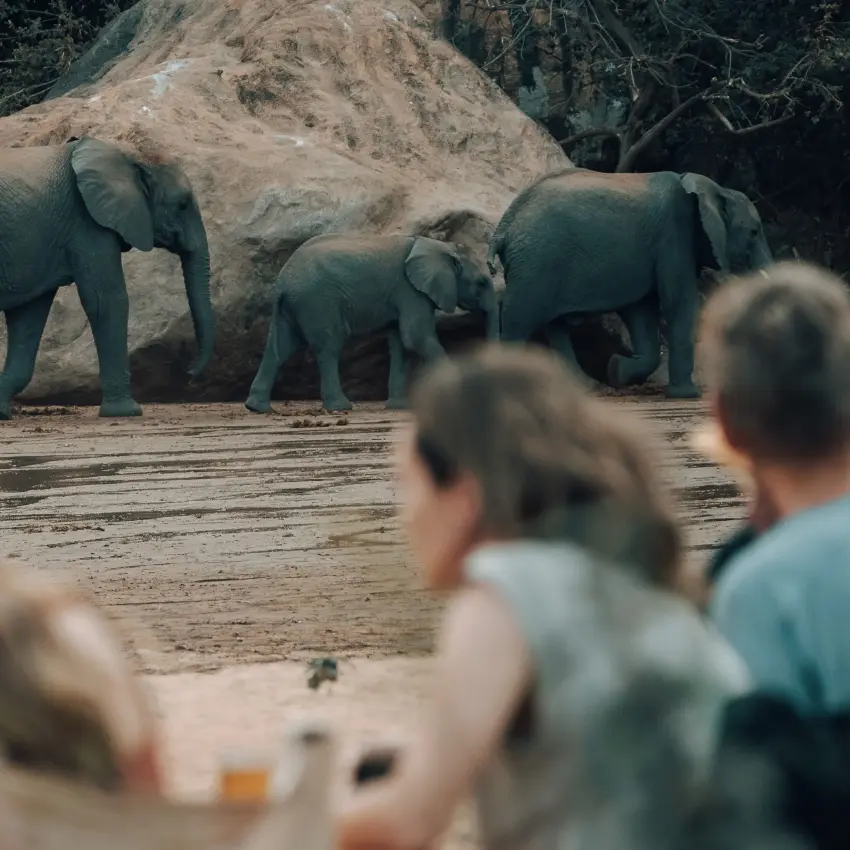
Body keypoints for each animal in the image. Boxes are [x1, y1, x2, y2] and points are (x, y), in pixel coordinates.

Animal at [0, 136, 214, 420]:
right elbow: (106, 301)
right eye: (182, 204)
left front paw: (0, 411)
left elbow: (28, 316)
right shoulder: (87, 223)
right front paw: (126, 411)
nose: (188, 374)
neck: (128, 153)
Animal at [244, 233, 499, 413]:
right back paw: (341, 407)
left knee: (281, 348)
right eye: (481, 282)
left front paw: (399, 407)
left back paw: (257, 408)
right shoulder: (410, 290)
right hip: (318, 302)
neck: (439, 245)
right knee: (329, 347)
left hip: (296, 304)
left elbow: (402, 344)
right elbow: (416, 338)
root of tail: (282, 281)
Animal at [487, 167, 773, 399]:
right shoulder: (674, 235)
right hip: (535, 264)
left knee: (554, 327)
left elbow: (642, 312)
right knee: (519, 320)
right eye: (754, 232)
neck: (715, 188)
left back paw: (586, 388)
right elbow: (678, 302)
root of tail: (503, 228)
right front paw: (687, 396)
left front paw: (615, 370)